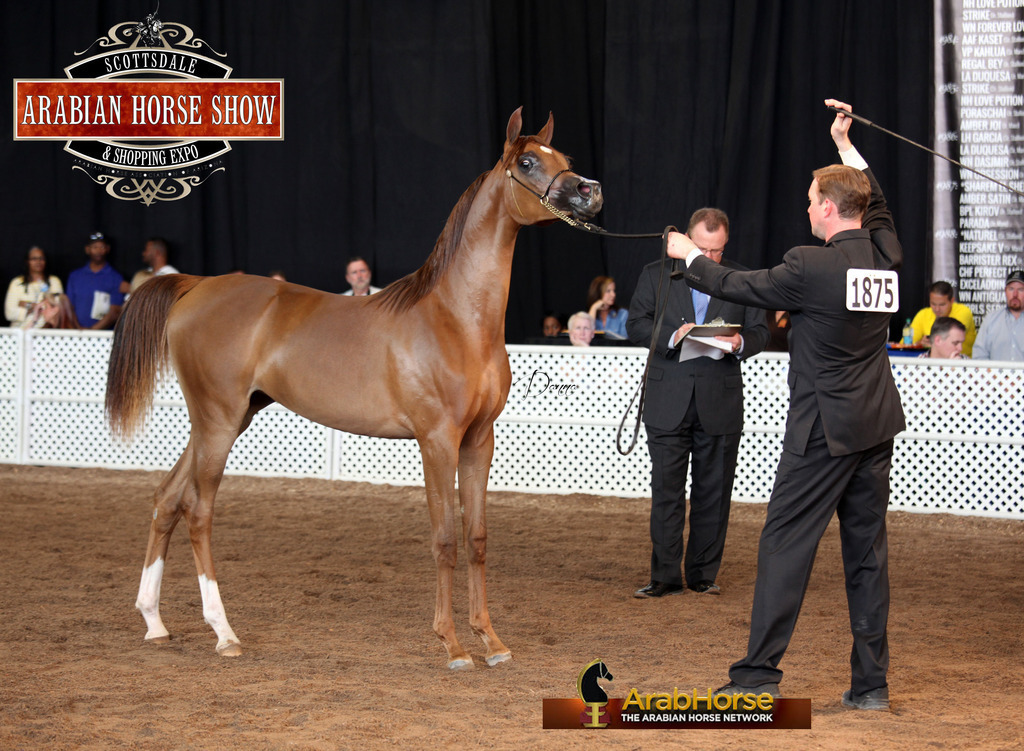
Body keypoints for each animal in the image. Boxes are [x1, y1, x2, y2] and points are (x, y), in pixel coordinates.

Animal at [105, 108, 603, 670]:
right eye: (528, 162)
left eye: (565, 158)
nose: (590, 192)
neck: (455, 318)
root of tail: (197, 285)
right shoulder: (437, 442)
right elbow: (445, 540)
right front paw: (453, 646)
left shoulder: (479, 439)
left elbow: (476, 537)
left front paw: (491, 642)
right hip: (218, 423)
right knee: (198, 511)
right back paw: (223, 632)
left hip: (224, 419)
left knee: (167, 498)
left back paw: (155, 622)